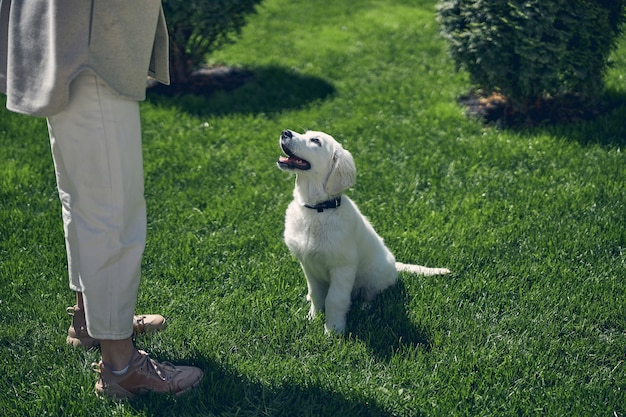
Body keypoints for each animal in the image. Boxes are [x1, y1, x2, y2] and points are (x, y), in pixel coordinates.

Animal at [276, 128, 446, 334]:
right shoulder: (307, 264)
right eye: (305, 133)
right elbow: (316, 293)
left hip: (375, 275)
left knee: (371, 293)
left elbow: (335, 299)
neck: (317, 209)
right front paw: (313, 317)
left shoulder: (343, 267)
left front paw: (333, 330)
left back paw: (366, 307)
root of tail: (394, 263)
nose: (285, 132)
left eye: (315, 141)